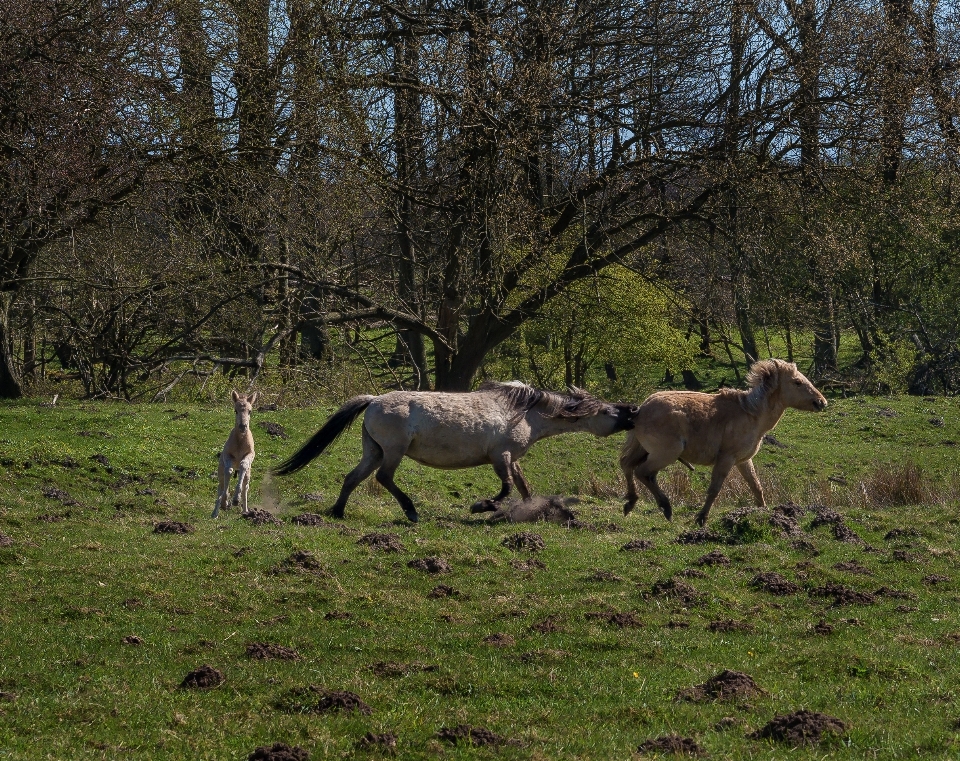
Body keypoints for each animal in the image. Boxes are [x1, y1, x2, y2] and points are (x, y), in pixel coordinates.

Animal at [624, 360, 824, 524]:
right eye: (797, 382)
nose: (821, 402)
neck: (751, 414)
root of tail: (641, 409)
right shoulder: (726, 459)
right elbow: (715, 489)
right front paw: (701, 518)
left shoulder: (743, 461)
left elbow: (756, 486)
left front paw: (765, 512)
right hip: (666, 454)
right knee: (642, 472)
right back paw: (665, 507)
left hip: (644, 451)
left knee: (629, 467)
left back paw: (631, 503)